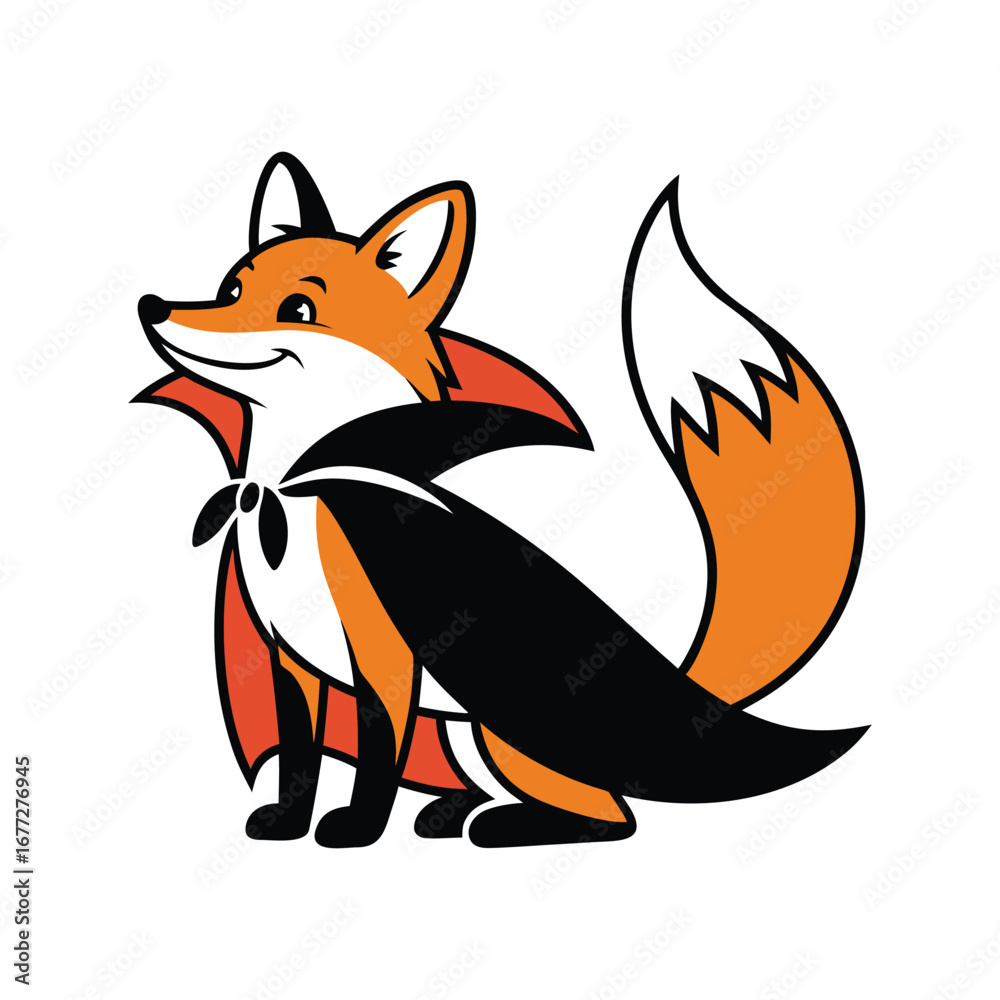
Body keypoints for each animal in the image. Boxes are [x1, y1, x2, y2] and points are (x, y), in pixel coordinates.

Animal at [134, 152, 867, 848]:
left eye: (298, 310)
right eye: (232, 288)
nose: (152, 307)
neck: (290, 486)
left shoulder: (383, 659)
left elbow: (375, 753)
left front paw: (356, 829)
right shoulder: (286, 663)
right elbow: (298, 758)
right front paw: (289, 824)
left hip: (501, 732)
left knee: (612, 816)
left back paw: (506, 826)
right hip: (466, 733)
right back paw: (450, 813)